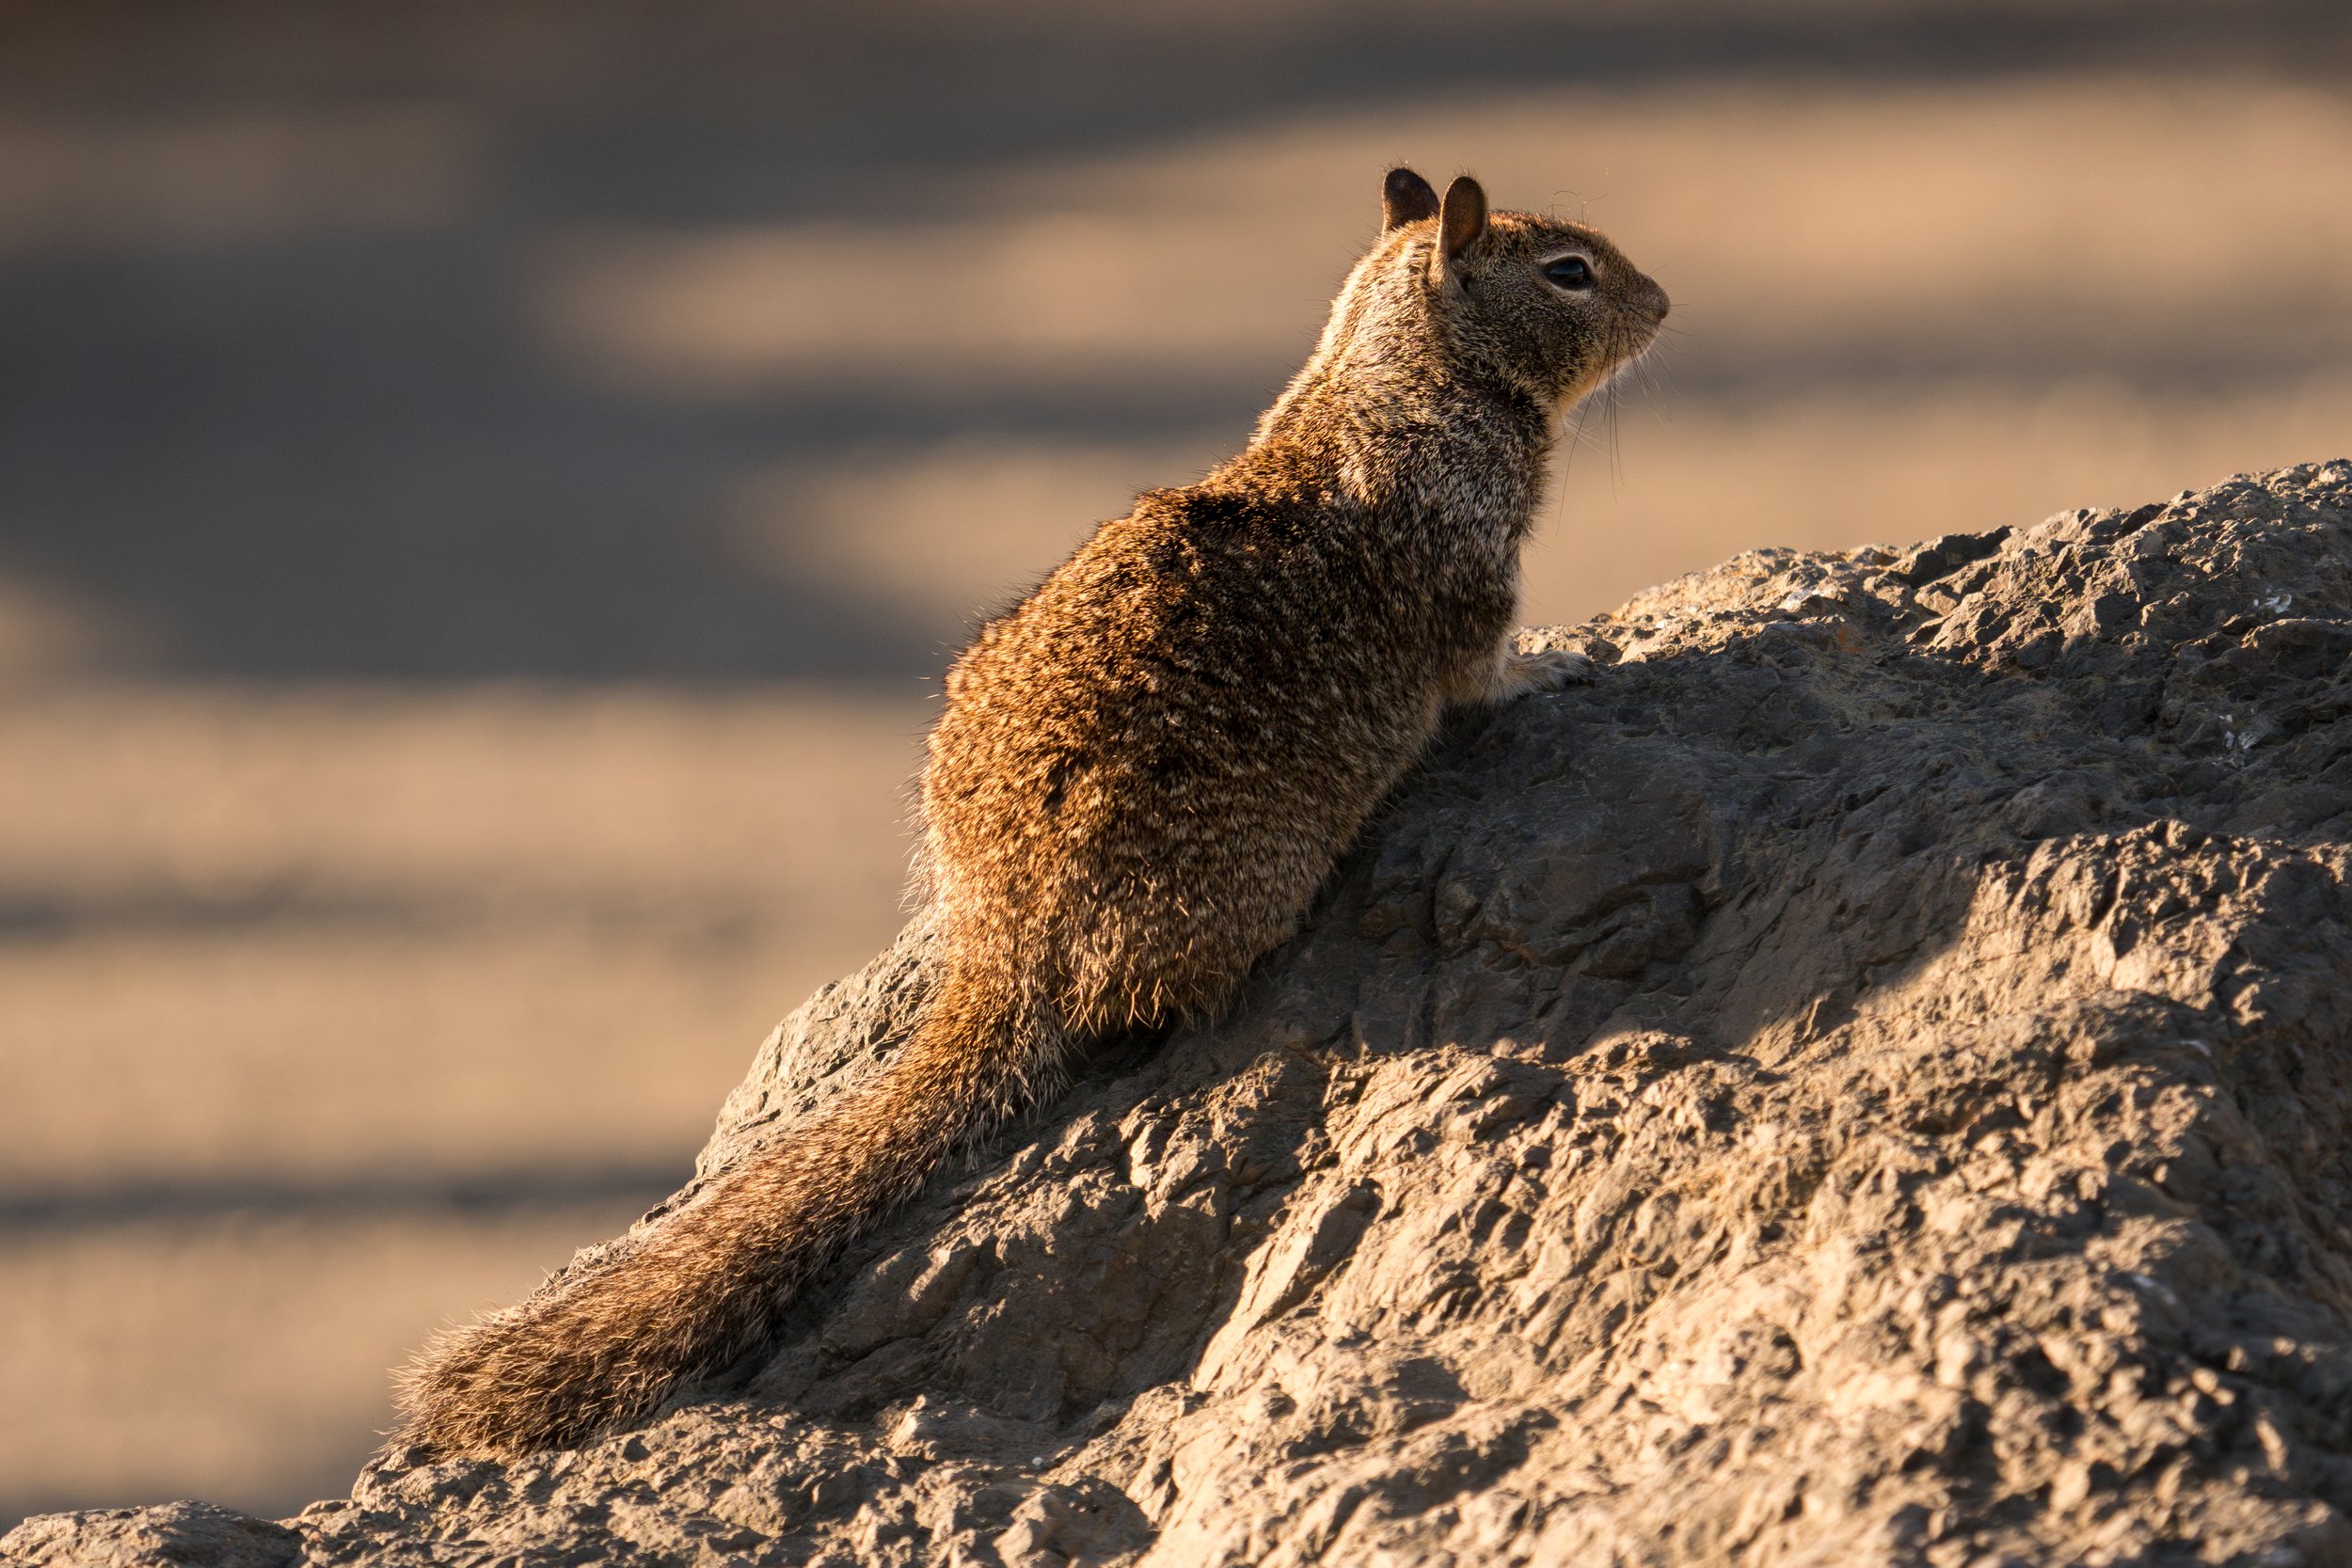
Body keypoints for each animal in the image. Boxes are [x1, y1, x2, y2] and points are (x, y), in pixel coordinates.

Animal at [395, 167, 1668, 1460]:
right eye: (1569, 272)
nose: (1663, 303)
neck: (1393, 375)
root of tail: (1004, 942)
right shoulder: (1470, 575)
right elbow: (1487, 669)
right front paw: (1562, 665)